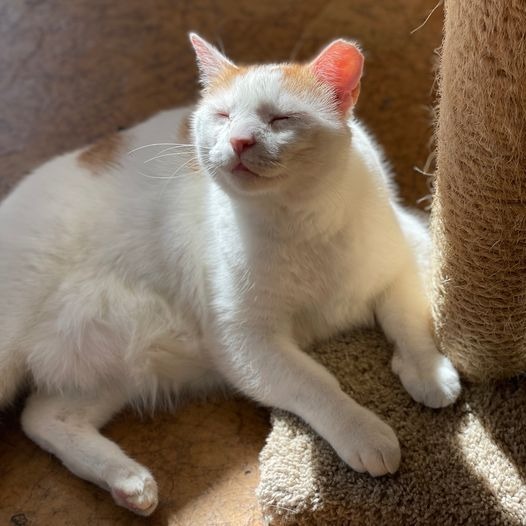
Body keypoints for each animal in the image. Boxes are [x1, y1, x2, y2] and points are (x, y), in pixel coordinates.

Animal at [0, 35, 462, 516]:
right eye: (222, 116)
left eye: (280, 118)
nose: (240, 140)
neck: (301, 221)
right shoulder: (245, 340)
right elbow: (317, 383)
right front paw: (364, 431)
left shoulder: (409, 251)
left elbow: (409, 321)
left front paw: (430, 374)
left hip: (113, 367)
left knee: (43, 417)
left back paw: (128, 483)